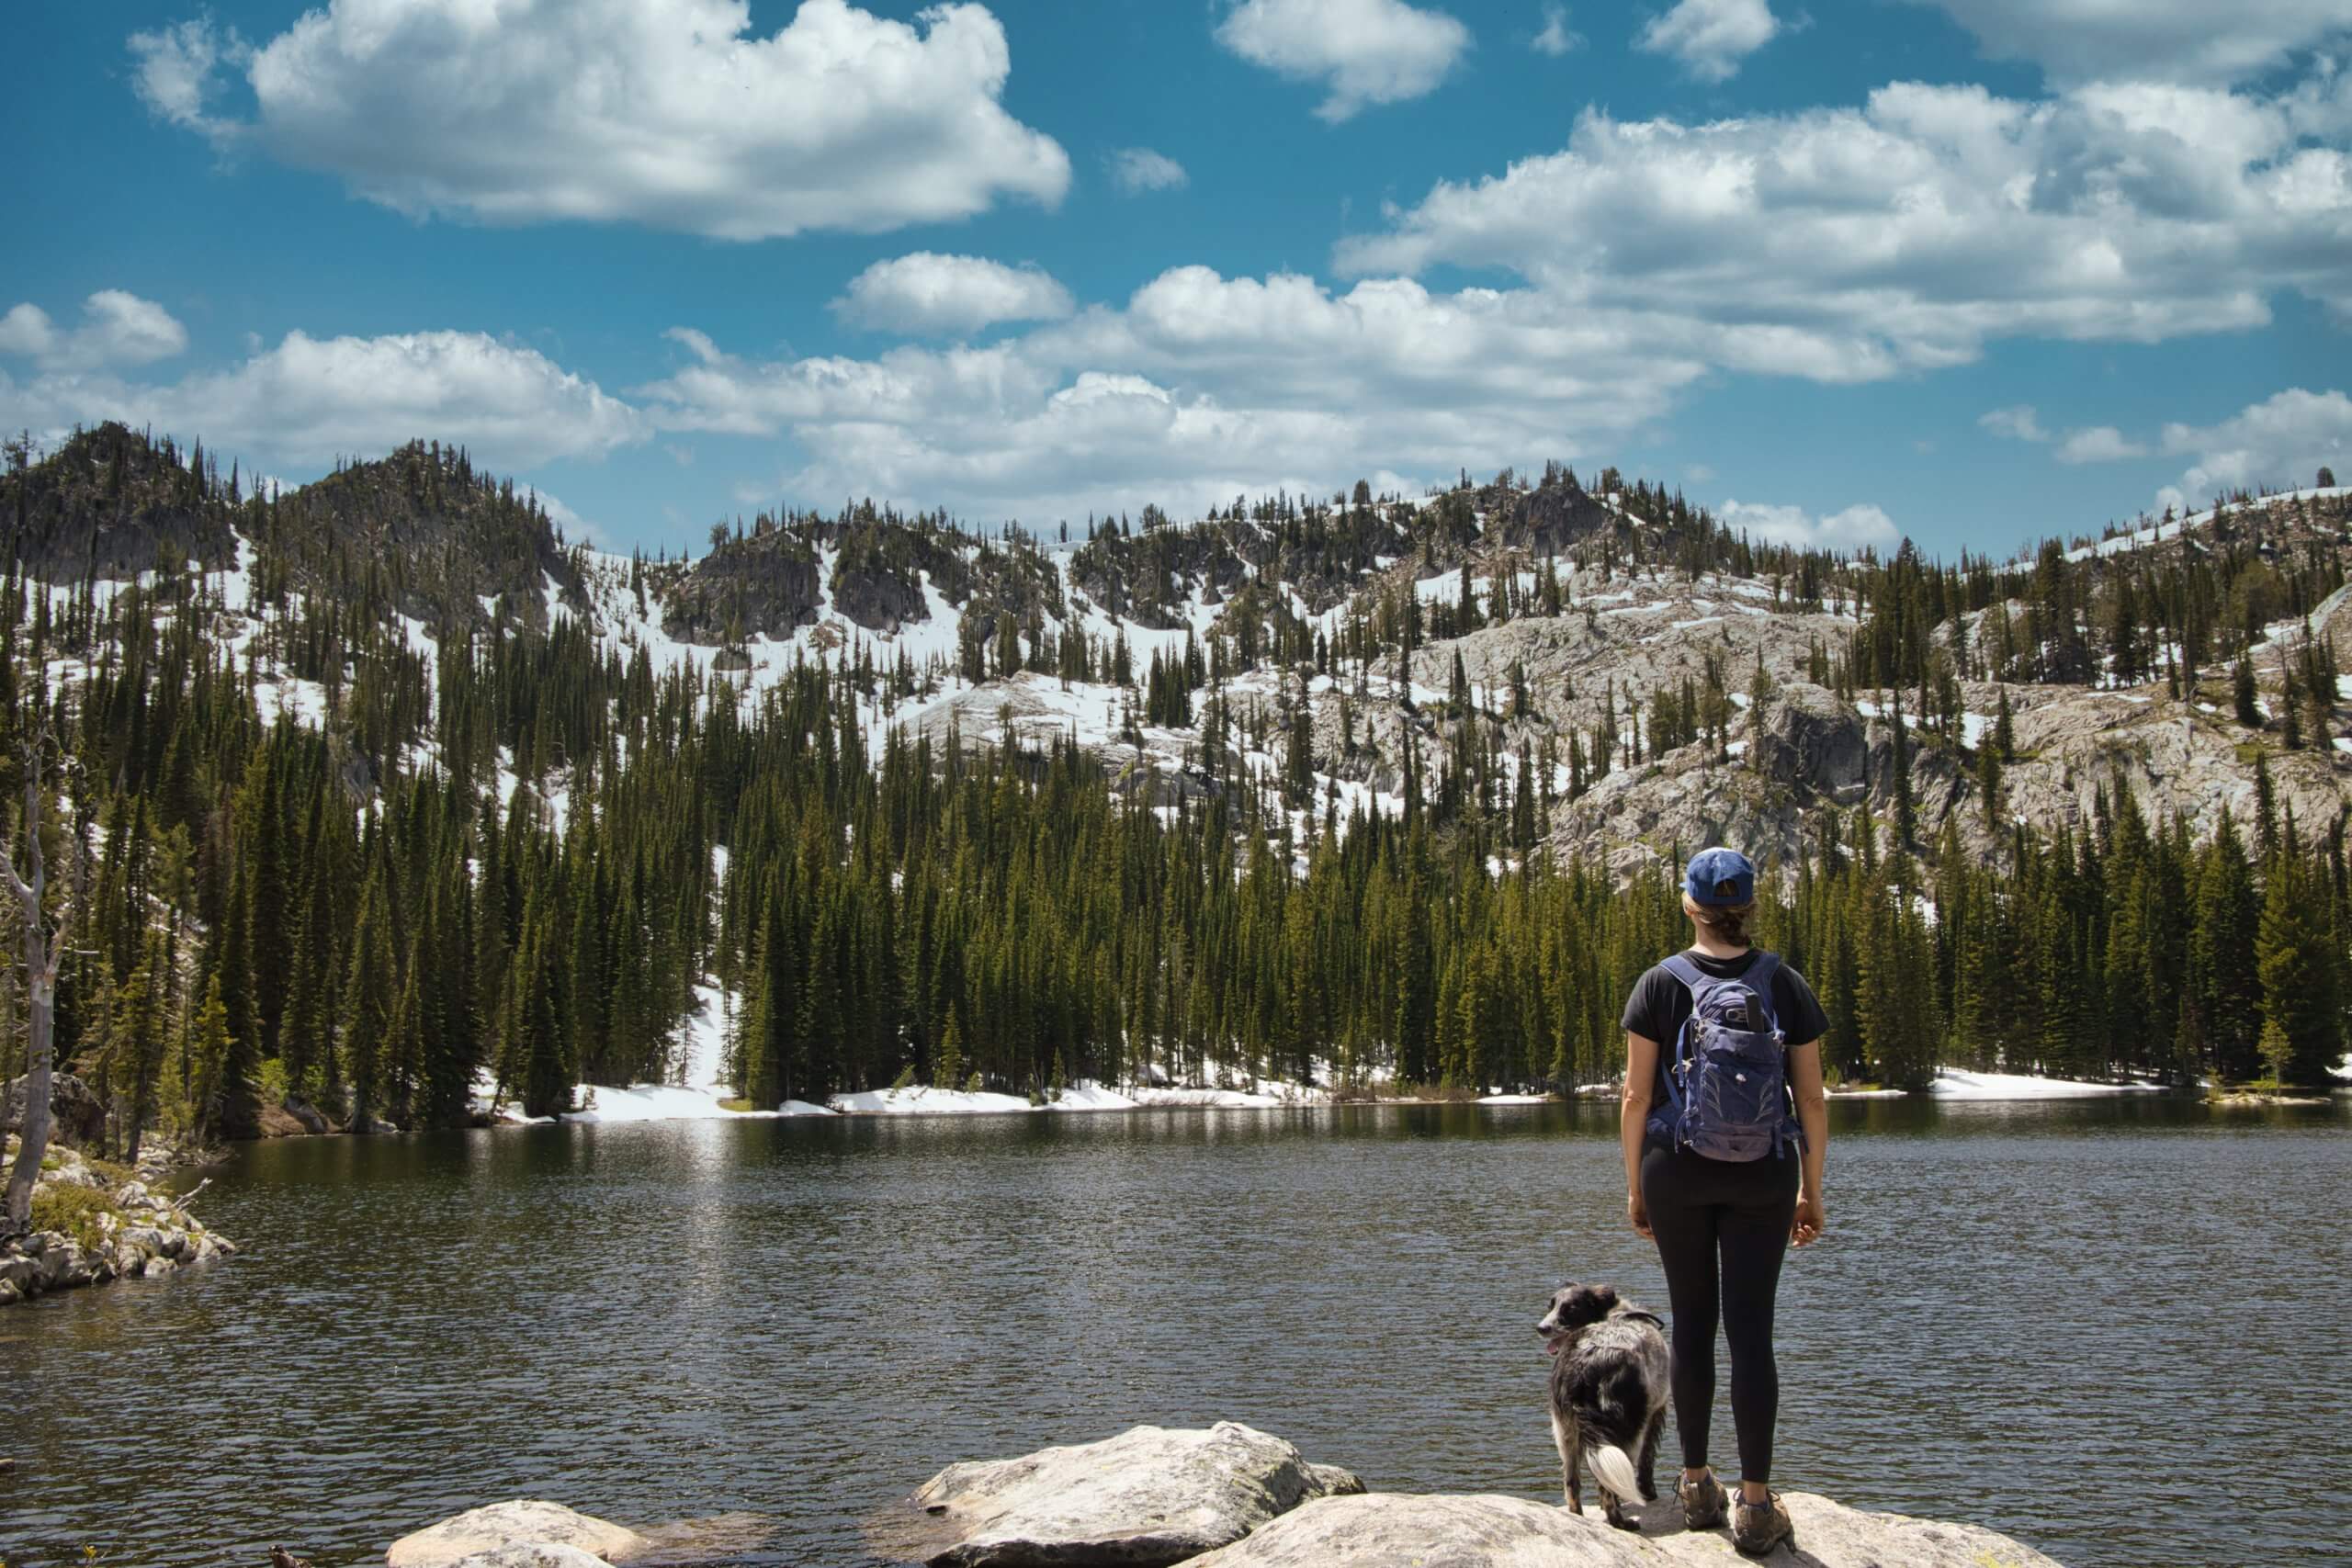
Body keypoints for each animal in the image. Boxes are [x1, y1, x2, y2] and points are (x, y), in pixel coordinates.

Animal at [1543, 1279, 1674, 1523]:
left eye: (1569, 1309)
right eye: (1552, 1307)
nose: (1542, 1327)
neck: (1615, 1314)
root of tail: (1583, 1362)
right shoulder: (1656, 1411)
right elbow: (1647, 1460)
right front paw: (1649, 1493)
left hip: (1565, 1430)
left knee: (1572, 1483)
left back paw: (1579, 1517)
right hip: (1625, 1427)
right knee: (1607, 1486)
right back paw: (1620, 1521)